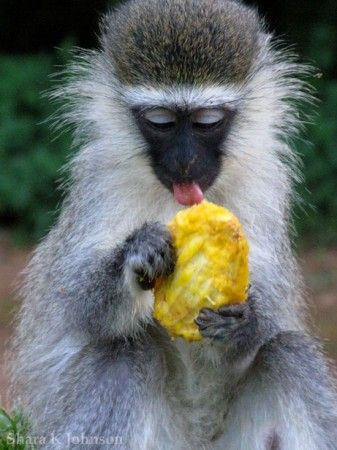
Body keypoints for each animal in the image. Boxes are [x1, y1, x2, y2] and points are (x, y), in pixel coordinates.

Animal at [10, 0, 336, 448]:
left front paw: (246, 322)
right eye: (160, 121)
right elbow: (74, 302)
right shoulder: (98, 182)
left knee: (289, 353)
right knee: (126, 351)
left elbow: (277, 304)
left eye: (206, 121)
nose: (184, 162)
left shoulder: (268, 183)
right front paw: (135, 256)